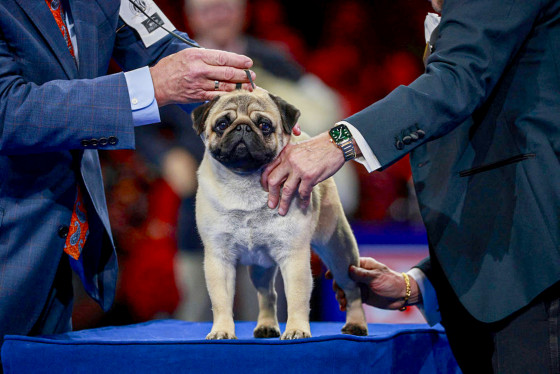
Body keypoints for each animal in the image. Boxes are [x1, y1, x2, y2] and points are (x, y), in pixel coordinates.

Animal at [192, 89, 368, 340]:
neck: (244, 182)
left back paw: (356, 324)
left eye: (264, 125)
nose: (242, 127)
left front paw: (296, 329)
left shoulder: (294, 258)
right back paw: (266, 326)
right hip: (261, 267)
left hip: (339, 251)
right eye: (222, 124)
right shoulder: (219, 258)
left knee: (352, 289)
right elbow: (221, 301)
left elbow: (297, 298)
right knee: (268, 294)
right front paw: (222, 330)